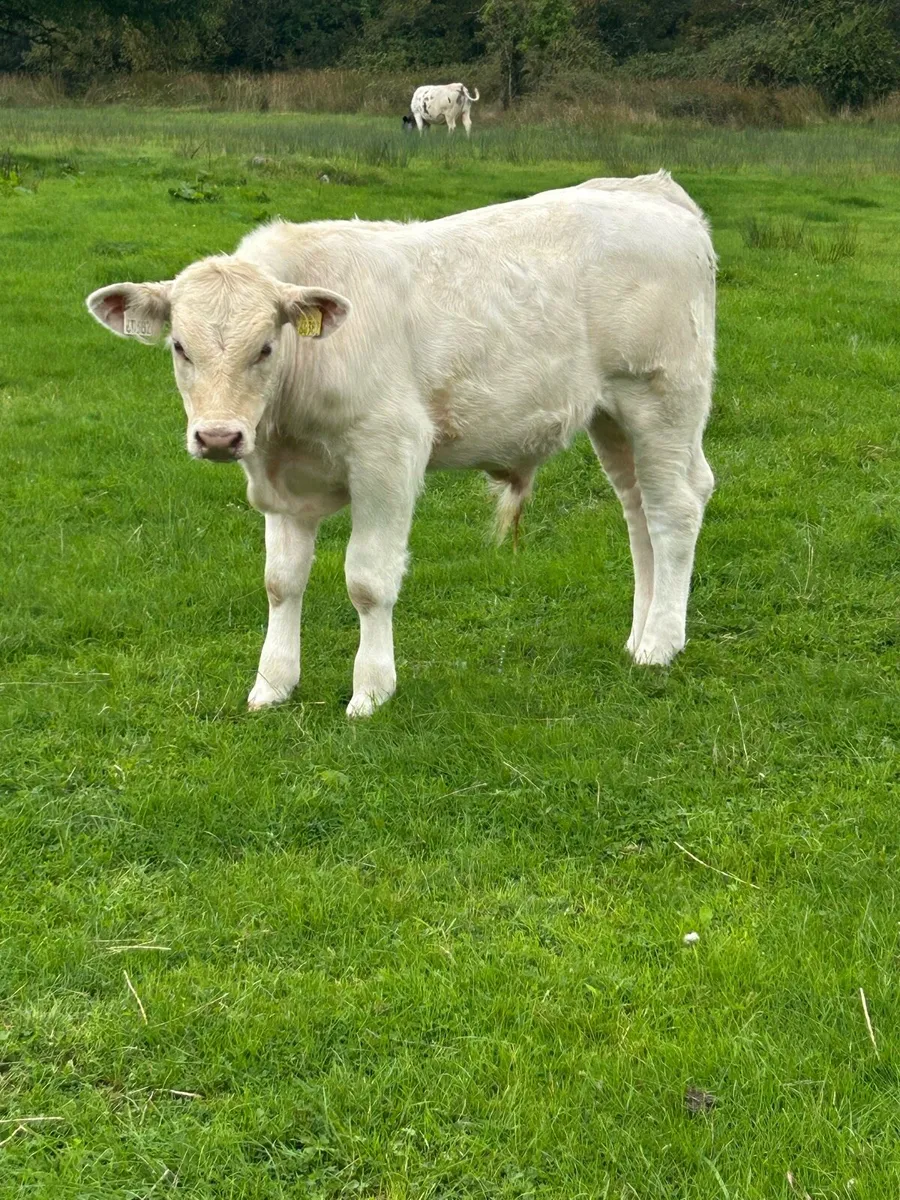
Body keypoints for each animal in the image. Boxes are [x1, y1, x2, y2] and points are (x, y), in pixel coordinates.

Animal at [85, 171, 716, 719]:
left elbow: (368, 580)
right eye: (179, 346)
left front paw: (370, 691)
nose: (219, 436)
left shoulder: (388, 453)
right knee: (638, 511)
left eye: (265, 346)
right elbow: (280, 581)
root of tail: (651, 189)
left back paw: (660, 643)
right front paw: (272, 684)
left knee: (675, 510)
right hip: (612, 416)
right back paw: (639, 635)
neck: (285, 426)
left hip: (662, 397)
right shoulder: (284, 483)